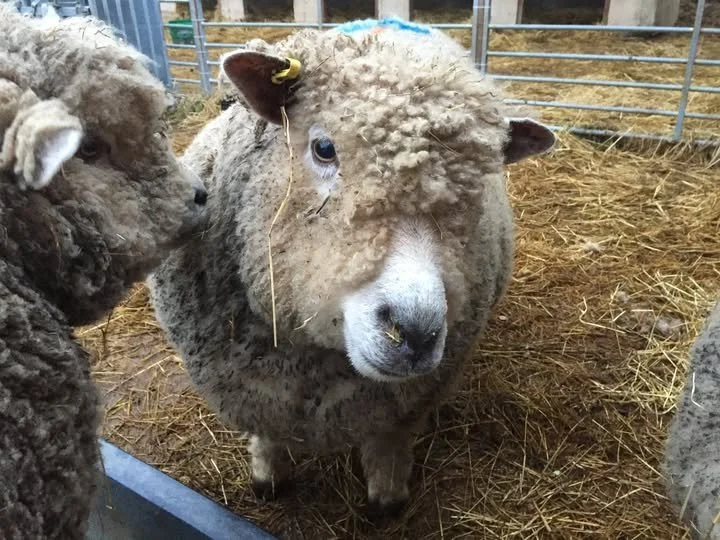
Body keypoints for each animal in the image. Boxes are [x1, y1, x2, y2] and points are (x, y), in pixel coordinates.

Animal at [148, 17, 555, 517]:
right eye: (324, 147)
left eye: (478, 182)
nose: (414, 331)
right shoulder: (252, 392)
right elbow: (267, 434)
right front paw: (267, 474)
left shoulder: (403, 402)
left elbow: (387, 442)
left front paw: (387, 496)